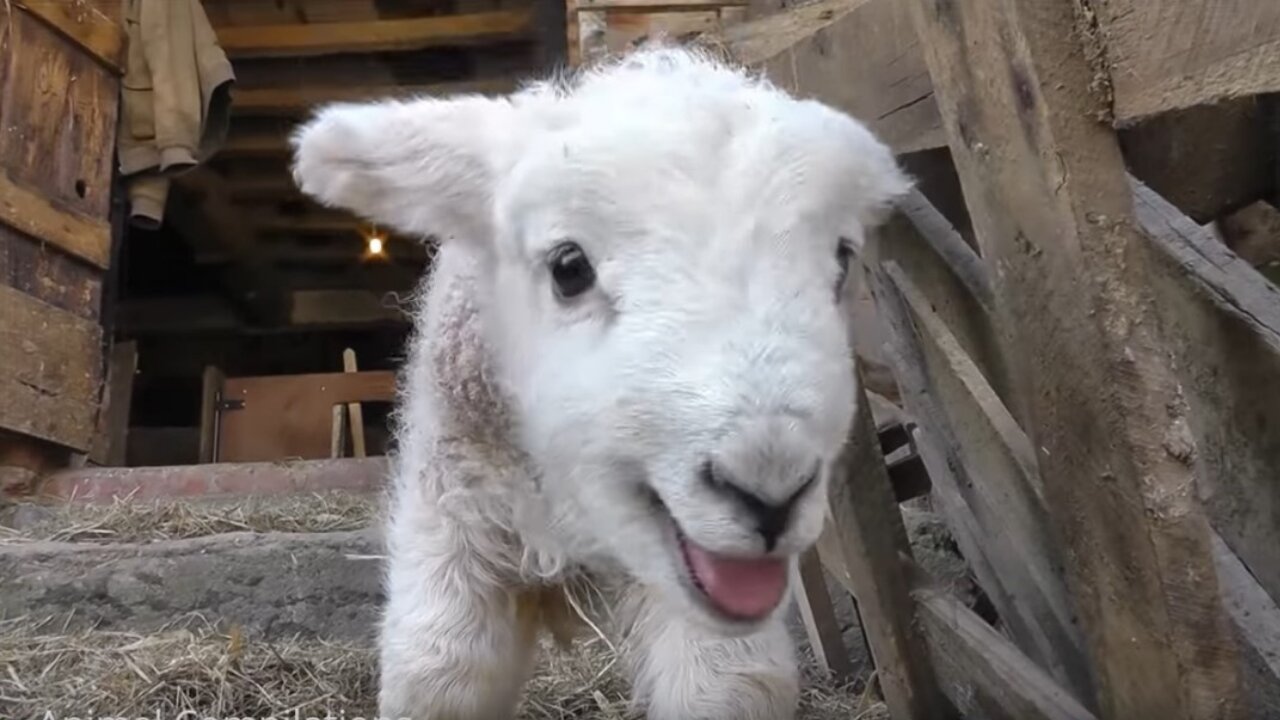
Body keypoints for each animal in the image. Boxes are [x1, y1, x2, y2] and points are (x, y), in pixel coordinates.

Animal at [290, 46, 911, 717]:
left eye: (842, 260)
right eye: (568, 267)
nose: (769, 489)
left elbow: (726, 683)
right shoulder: (452, 510)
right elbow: (439, 669)